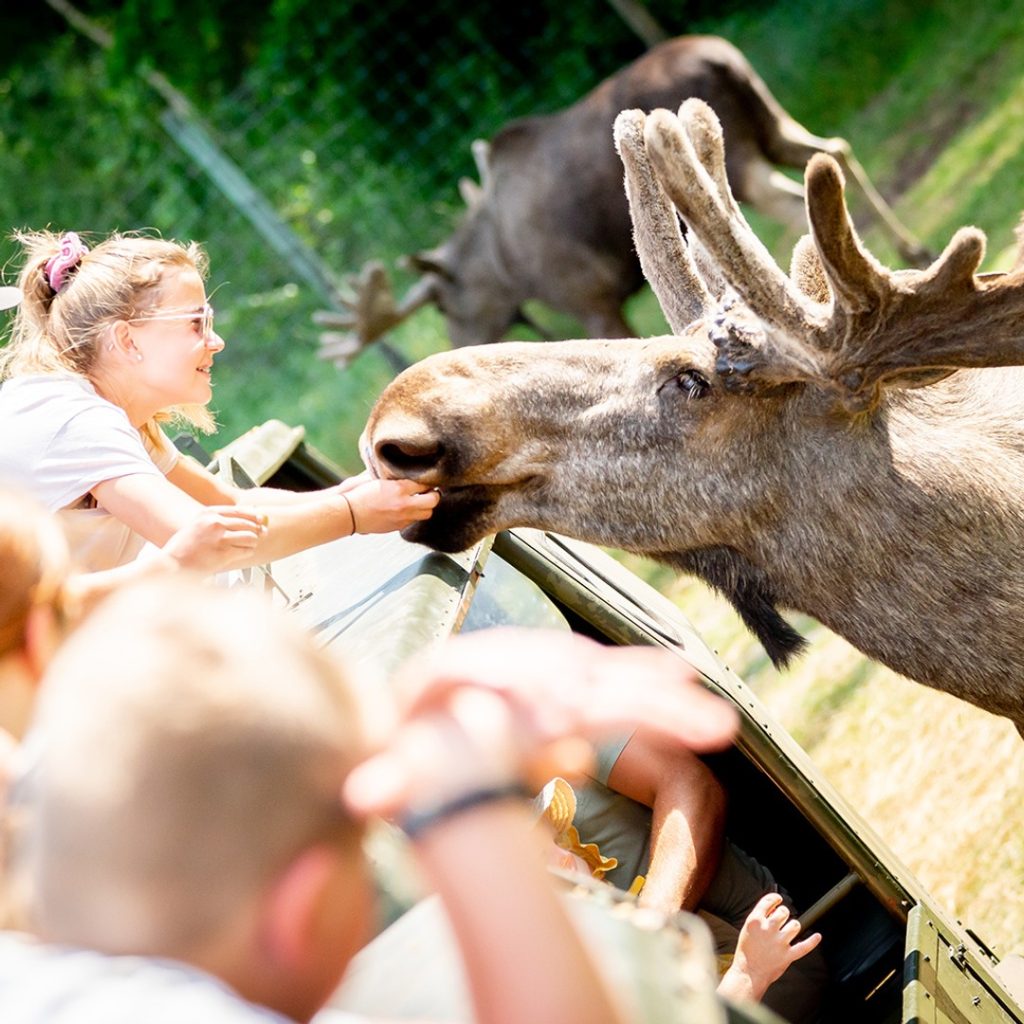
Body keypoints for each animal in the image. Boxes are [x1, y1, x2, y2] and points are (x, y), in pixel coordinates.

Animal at [317, 35, 930, 367]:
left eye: (445, 306)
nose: (452, 344)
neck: (505, 266)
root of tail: (720, 57)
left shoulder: (592, 299)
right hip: (770, 121)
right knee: (833, 150)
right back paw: (908, 252)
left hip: (737, 156)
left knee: (779, 201)